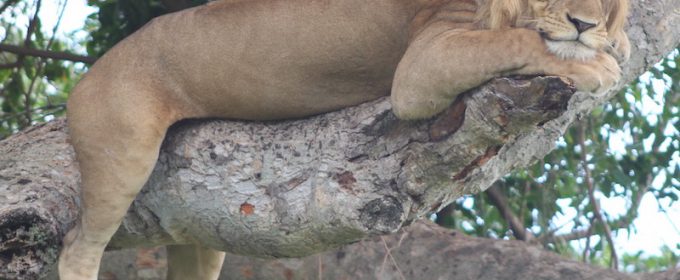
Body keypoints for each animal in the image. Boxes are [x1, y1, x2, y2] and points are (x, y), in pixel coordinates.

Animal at [61, 0, 628, 278]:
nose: (584, 23)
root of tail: (84, 78)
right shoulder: (422, 64)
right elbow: (519, 39)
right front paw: (597, 64)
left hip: (196, 235)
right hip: (122, 153)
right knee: (77, 247)